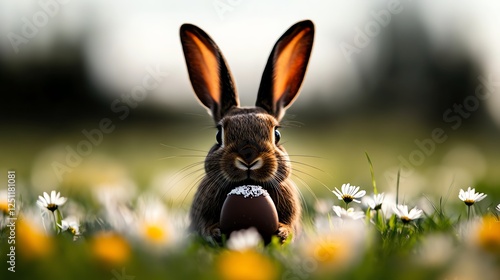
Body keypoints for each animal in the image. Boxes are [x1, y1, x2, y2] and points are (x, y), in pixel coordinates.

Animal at [179, 19, 312, 244]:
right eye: (219, 135)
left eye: (277, 135)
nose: (248, 157)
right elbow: (205, 225)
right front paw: (215, 232)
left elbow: (290, 225)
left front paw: (282, 232)